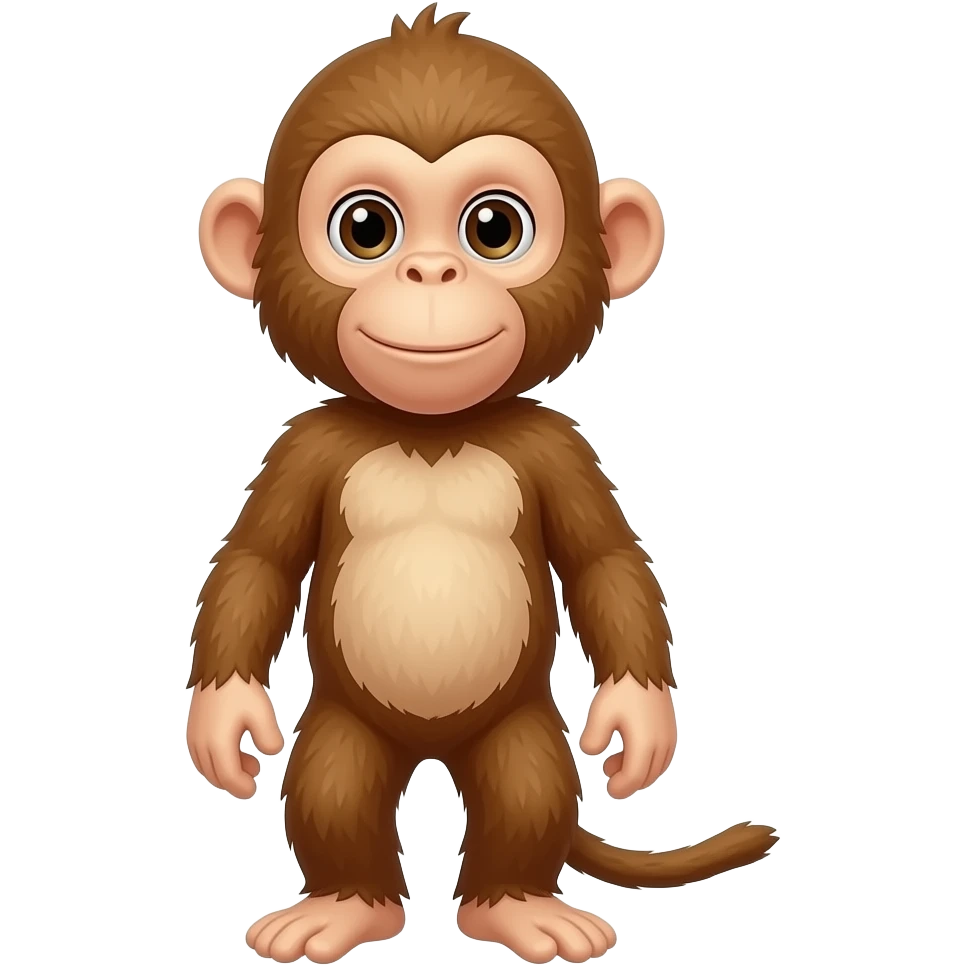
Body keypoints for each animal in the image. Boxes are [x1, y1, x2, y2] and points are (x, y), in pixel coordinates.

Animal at [185, 6, 779, 964]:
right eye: (366, 228)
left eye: (494, 227)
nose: (432, 273)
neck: (434, 429)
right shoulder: (303, 446)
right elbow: (256, 563)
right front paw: (224, 721)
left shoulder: (557, 444)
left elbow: (607, 561)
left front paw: (639, 723)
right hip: (346, 723)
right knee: (334, 783)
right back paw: (344, 906)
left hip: (523, 722)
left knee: (525, 786)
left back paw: (518, 906)